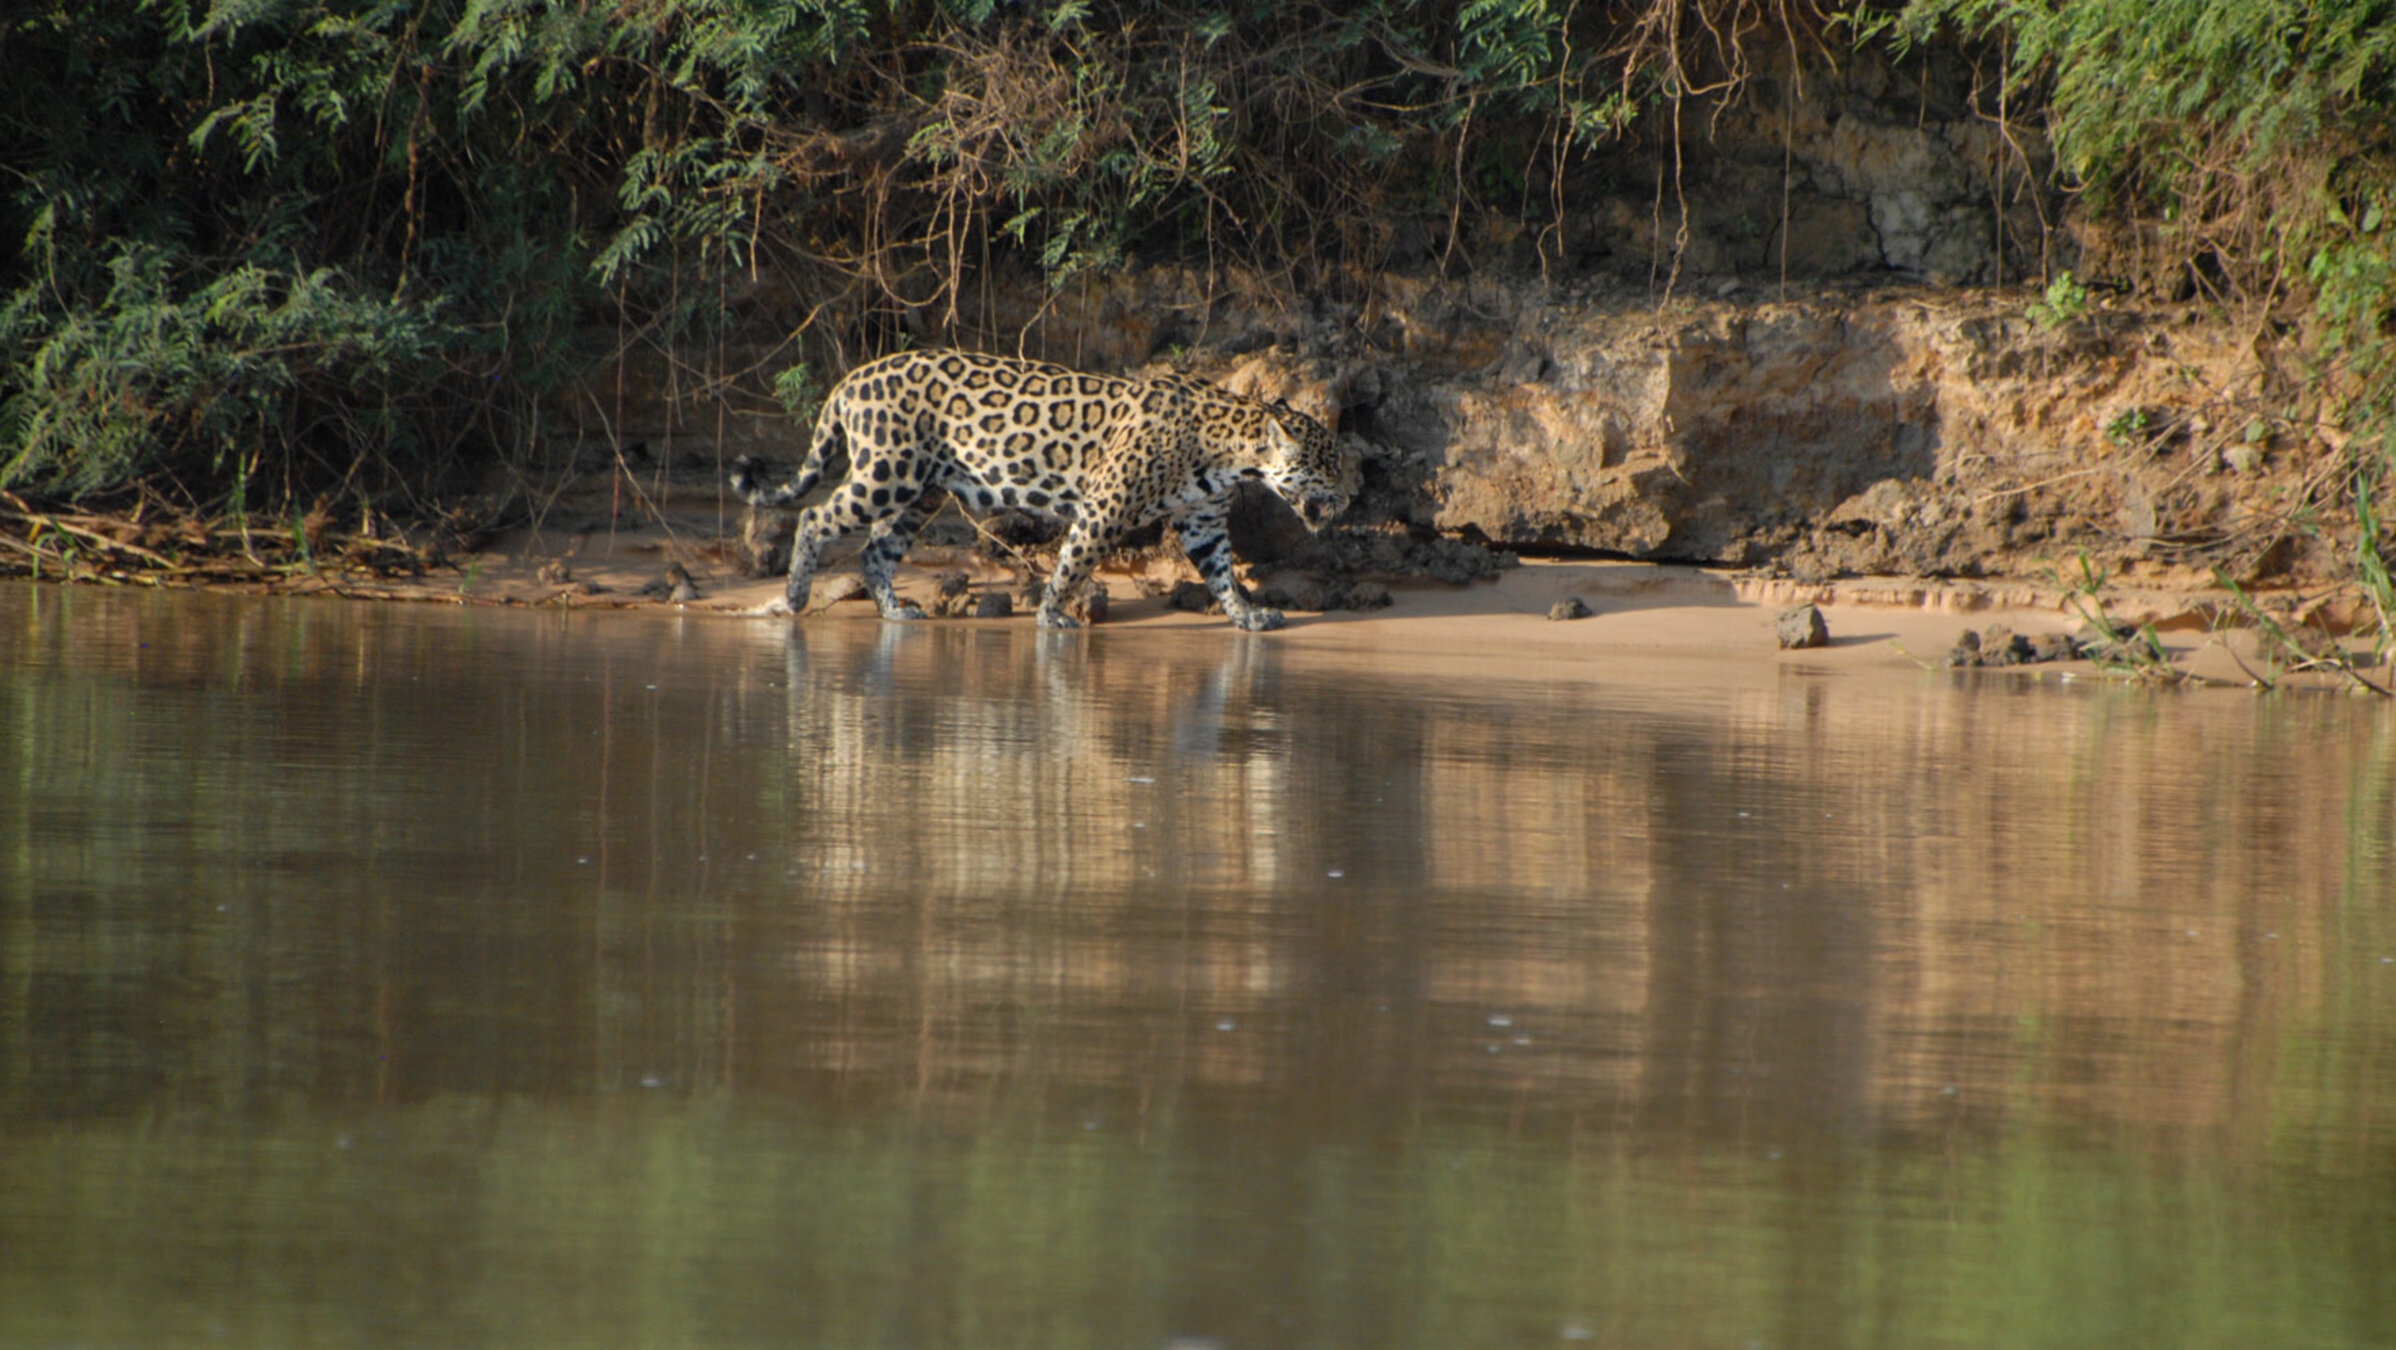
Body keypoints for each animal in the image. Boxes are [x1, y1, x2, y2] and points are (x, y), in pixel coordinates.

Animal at [730, 348, 1358, 631]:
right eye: (1328, 467)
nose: (1351, 497)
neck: (1232, 453)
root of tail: (852, 377)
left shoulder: (1202, 518)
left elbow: (1223, 571)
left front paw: (1247, 615)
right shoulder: (1106, 506)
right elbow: (1074, 561)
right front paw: (1052, 613)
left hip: (922, 489)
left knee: (875, 549)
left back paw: (894, 609)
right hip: (887, 472)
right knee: (815, 519)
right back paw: (792, 600)